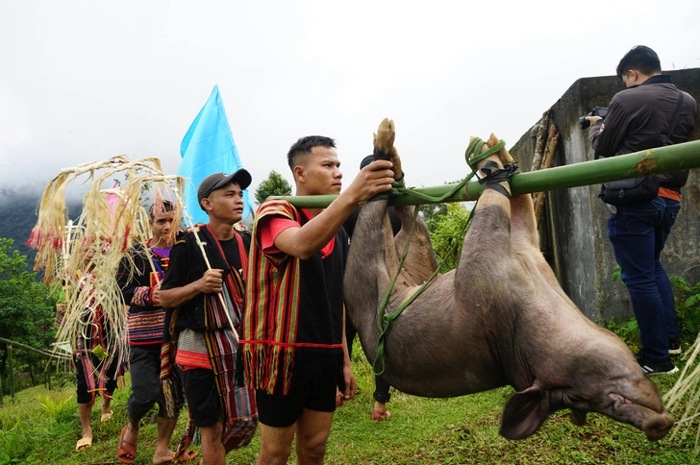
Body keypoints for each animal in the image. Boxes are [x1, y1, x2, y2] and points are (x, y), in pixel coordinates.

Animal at [344, 118, 672, 440]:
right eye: (589, 398)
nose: (658, 426)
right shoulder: (481, 263)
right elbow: (500, 202)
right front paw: (489, 153)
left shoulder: (527, 246)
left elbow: (518, 205)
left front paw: (493, 149)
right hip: (362, 269)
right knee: (378, 204)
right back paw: (385, 139)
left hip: (417, 258)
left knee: (406, 213)